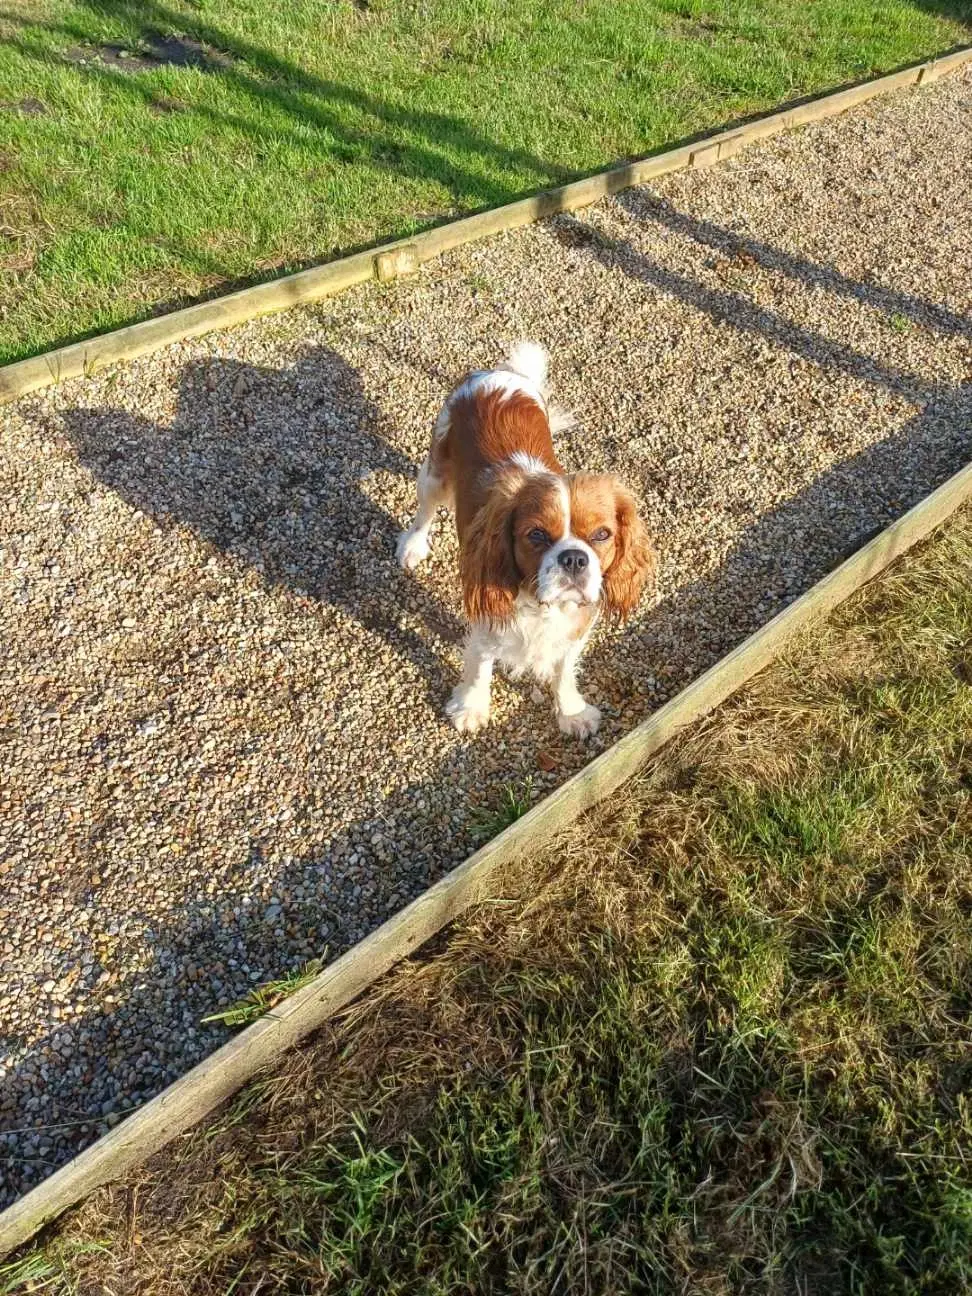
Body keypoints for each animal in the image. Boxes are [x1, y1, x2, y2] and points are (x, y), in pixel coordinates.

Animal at [393, 344, 655, 741]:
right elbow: (480, 665)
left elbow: (565, 670)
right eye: (536, 535)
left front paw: (572, 712)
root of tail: (498, 376)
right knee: (424, 512)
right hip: (434, 473)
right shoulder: (487, 617)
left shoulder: (576, 627)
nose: (574, 558)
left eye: (601, 535)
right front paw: (471, 708)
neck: (543, 608)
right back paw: (412, 547)